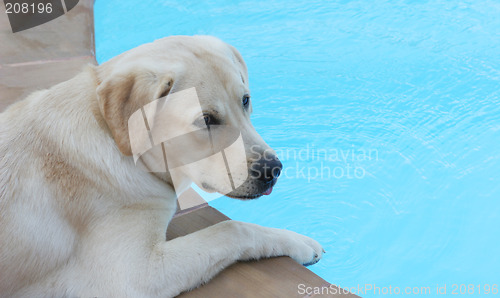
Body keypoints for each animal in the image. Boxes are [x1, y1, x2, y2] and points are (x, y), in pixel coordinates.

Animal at [0, 36, 324, 296]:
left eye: (245, 100)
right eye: (206, 119)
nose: (273, 170)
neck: (116, 141)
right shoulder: (135, 275)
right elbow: (233, 229)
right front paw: (299, 243)